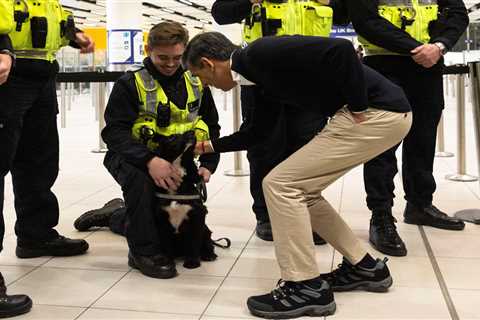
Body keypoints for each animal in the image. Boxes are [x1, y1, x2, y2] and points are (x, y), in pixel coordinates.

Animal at [152, 131, 218, 268]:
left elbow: (194, 241)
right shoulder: (161, 218)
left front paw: (192, 261)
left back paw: (208, 255)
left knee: (208, 242)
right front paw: (168, 261)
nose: (191, 132)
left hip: (206, 230)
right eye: (172, 137)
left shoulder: (198, 215)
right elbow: (166, 243)